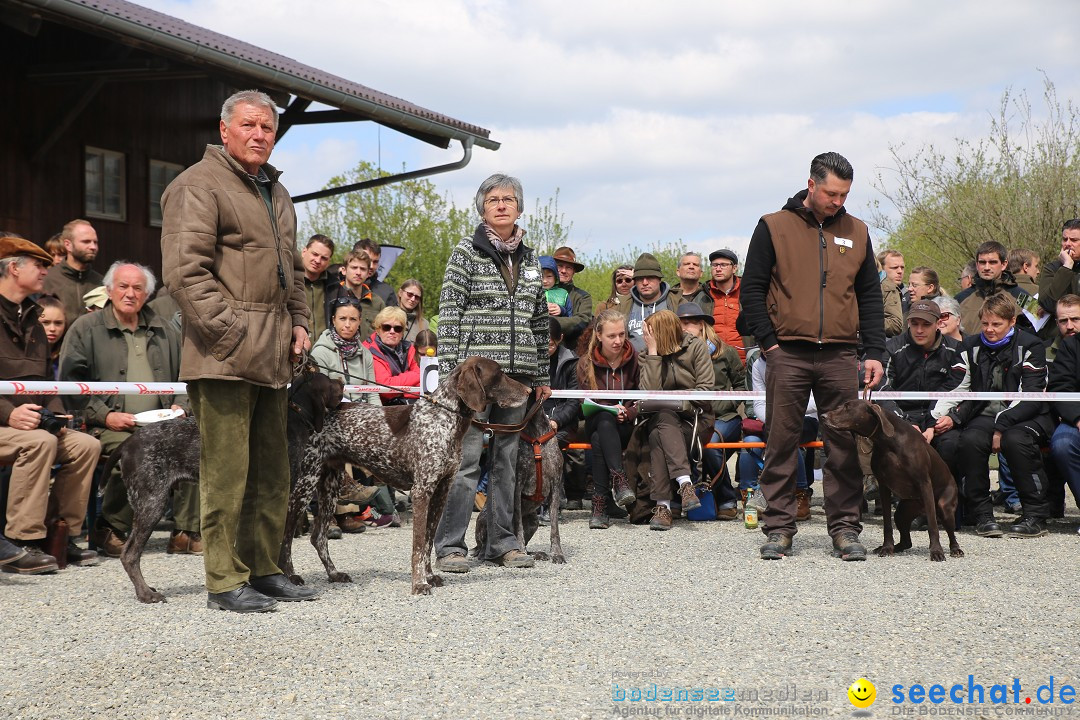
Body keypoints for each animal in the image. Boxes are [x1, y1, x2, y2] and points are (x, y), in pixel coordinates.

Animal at [280, 356, 529, 595]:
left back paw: (333, 574)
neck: (445, 419)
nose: (528, 391)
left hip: (330, 485)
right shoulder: (421, 492)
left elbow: (428, 542)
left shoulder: (441, 492)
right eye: (499, 374)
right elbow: (418, 546)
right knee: (286, 536)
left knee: (318, 537)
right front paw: (419, 584)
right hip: (303, 485)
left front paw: (429, 576)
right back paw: (289, 577)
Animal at [820, 399, 967, 561]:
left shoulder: (924, 484)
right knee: (906, 541)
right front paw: (886, 548)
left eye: (847, 407)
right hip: (902, 512)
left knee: (951, 533)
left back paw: (956, 549)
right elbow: (887, 525)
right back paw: (893, 548)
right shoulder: (884, 486)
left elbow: (933, 525)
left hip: (944, 508)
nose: (823, 416)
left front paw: (936, 551)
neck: (888, 442)